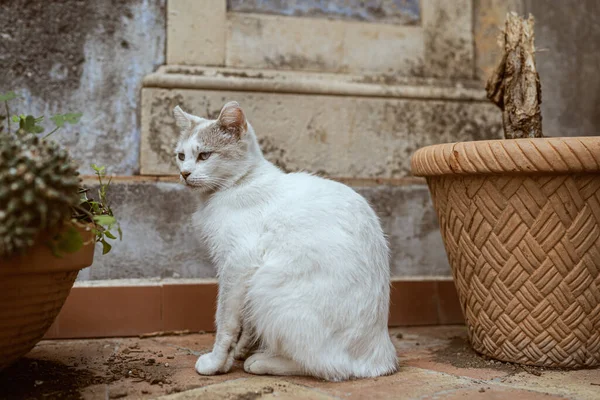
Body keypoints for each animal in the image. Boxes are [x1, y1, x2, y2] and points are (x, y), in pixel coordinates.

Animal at [172, 101, 398, 382]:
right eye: (181, 156)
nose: (184, 173)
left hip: (267, 285)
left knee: (327, 367)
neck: (238, 184)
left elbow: (225, 320)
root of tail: (381, 359)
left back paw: (264, 361)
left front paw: (217, 362)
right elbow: (246, 320)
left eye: (204, 155)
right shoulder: (244, 272)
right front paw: (239, 350)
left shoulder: (237, 264)